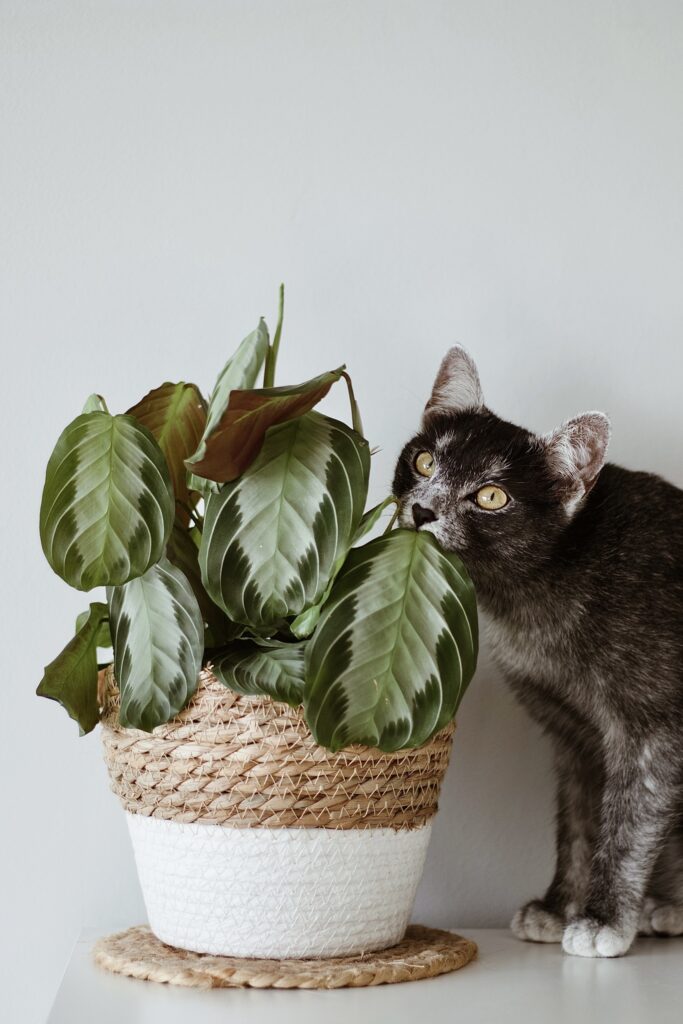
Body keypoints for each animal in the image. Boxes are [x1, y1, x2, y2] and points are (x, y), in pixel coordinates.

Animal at [393, 348, 679, 954]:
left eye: (491, 497)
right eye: (425, 462)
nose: (423, 511)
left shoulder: (653, 732)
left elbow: (628, 823)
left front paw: (603, 919)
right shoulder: (574, 737)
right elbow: (578, 825)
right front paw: (557, 907)